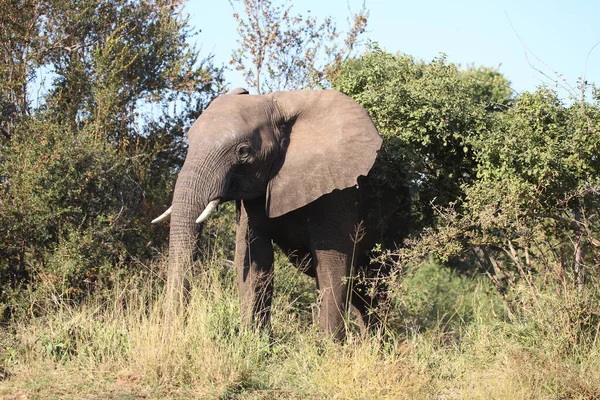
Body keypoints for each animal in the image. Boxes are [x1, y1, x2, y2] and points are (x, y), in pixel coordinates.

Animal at [155, 86, 408, 338]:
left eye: (243, 151)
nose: (173, 335)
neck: (277, 108)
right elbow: (254, 258)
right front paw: (254, 340)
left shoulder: (337, 191)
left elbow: (332, 264)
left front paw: (328, 345)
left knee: (375, 282)